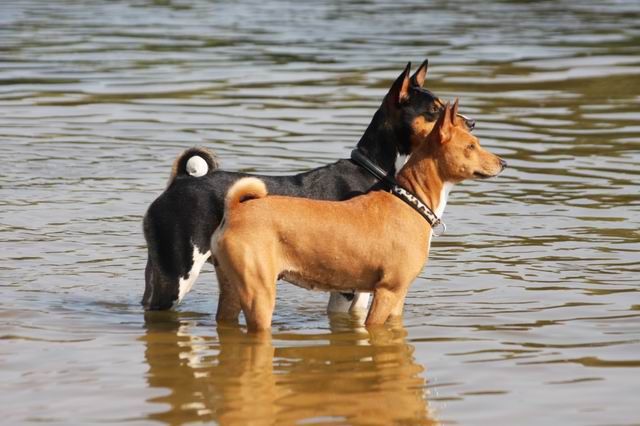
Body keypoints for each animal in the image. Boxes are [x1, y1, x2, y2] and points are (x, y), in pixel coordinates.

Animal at [142, 60, 475, 311]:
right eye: (434, 111)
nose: (471, 123)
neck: (375, 171)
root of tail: (180, 182)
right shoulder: (348, 290)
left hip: (161, 272)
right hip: (178, 275)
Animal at [211, 100, 506, 331]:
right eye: (471, 146)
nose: (503, 163)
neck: (412, 201)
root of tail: (235, 210)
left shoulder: (398, 296)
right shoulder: (387, 292)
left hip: (232, 291)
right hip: (259, 295)